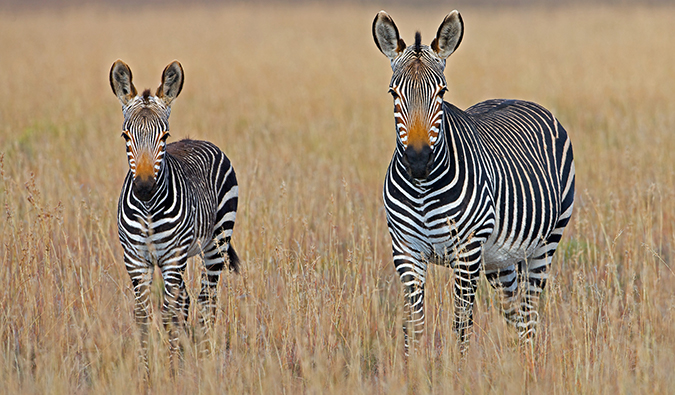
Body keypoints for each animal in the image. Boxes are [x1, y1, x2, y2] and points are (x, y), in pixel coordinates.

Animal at [109, 59, 240, 374]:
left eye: (164, 136)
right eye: (126, 136)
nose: (144, 188)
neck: (147, 209)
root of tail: (198, 140)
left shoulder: (172, 258)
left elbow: (168, 316)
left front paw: (170, 374)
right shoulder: (135, 259)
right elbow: (143, 317)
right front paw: (146, 374)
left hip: (215, 244)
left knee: (207, 302)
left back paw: (205, 361)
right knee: (187, 300)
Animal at [372, 10, 580, 356]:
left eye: (441, 92)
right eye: (393, 94)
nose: (418, 161)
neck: (423, 190)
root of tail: (516, 98)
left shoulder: (467, 252)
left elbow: (461, 326)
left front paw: (458, 367)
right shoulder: (405, 251)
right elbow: (413, 327)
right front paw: (411, 367)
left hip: (545, 244)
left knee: (530, 315)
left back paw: (528, 363)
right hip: (500, 259)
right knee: (515, 313)